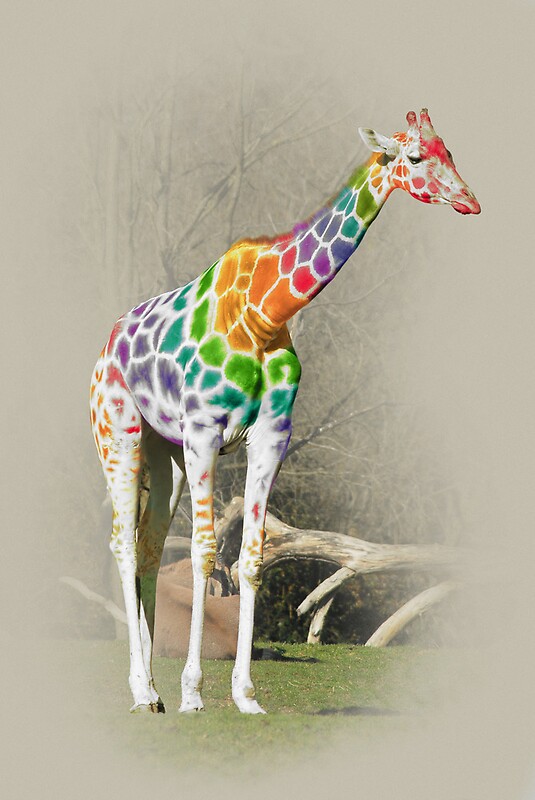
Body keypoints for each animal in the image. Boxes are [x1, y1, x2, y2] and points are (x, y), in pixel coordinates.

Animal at [90, 108, 480, 715]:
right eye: (415, 157)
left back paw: (150, 690)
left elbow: (251, 557)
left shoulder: (272, 434)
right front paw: (194, 694)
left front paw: (245, 696)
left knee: (148, 547)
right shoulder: (204, 432)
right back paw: (145, 692)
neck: (265, 311)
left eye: (451, 152)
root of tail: (106, 346)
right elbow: (205, 552)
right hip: (120, 434)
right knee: (122, 545)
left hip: (164, 454)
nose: (469, 200)